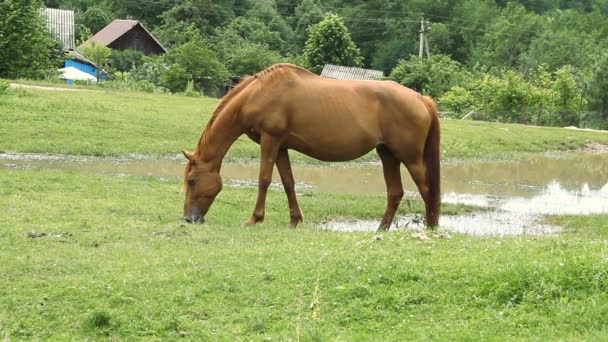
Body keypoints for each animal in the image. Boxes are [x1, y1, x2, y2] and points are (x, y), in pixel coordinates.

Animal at [183, 63, 440, 231]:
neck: (258, 94)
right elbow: (288, 182)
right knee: (395, 192)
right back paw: (381, 229)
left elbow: (264, 179)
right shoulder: (281, 147)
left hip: (410, 157)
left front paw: (255, 218)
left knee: (427, 189)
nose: (188, 218)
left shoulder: (270, 140)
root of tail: (421, 98)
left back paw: (430, 227)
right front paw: (294, 219)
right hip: (387, 154)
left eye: (191, 180)